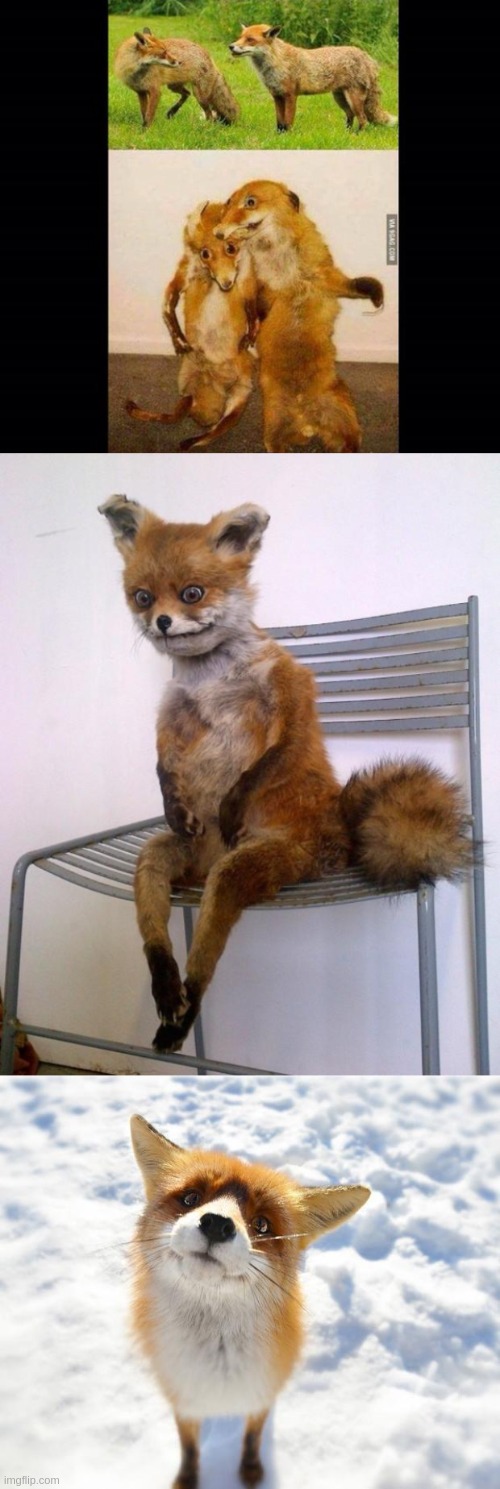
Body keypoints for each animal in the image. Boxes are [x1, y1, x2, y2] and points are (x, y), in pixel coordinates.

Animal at [99, 496, 473, 1055]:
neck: (211, 682)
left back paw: (187, 1004)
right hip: (161, 858)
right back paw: (166, 991)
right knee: (155, 927)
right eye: (142, 597)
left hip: (244, 868)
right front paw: (172, 799)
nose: (162, 622)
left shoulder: (290, 696)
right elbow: (163, 763)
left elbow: (269, 760)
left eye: (192, 593)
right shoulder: (172, 717)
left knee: (207, 952)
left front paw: (232, 800)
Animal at [126, 202, 258, 452]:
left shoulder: (248, 284)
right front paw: (180, 343)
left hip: (238, 399)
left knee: (210, 433)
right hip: (186, 388)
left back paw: (187, 441)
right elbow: (168, 308)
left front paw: (248, 338)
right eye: (205, 253)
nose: (227, 282)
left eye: (231, 248)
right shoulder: (181, 278)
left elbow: (253, 312)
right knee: (170, 417)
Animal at [130, 1113, 370, 1487]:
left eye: (262, 1224)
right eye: (191, 1198)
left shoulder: (262, 1394)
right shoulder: (181, 1398)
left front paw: (252, 1471)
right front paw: (187, 1479)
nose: (216, 1224)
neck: (218, 1364)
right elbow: (189, 1448)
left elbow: (253, 1437)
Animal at [216, 180, 385, 452]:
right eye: (228, 204)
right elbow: (254, 310)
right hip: (273, 425)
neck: (286, 270)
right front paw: (250, 334)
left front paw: (376, 295)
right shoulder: (263, 289)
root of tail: (307, 421)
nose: (219, 233)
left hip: (345, 418)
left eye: (250, 202)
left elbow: (355, 285)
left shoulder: (323, 278)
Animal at [229, 23, 397, 133]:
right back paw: (346, 133)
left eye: (250, 39)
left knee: (363, 119)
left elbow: (288, 120)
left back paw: (357, 135)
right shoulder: (277, 96)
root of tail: (367, 57)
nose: (231, 46)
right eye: (240, 37)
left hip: (353, 98)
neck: (275, 63)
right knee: (350, 115)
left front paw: (288, 136)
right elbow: (279, 122)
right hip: (340, 98)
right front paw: (279, 136)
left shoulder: (290, 95)